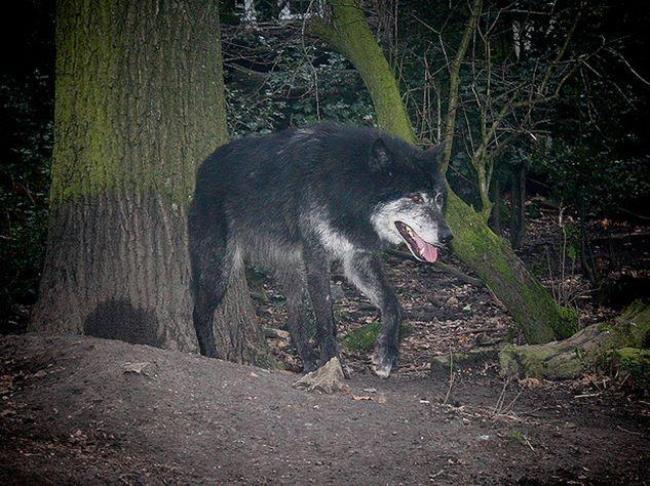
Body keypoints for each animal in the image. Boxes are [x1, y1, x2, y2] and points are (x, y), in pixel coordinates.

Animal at [187, 123, 450, 378]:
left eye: (438, 198)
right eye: (415, 198)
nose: (448, 236)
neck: (349, 187)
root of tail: (204, 167)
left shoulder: (357, 260)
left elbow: (393, 305)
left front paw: (385, 357)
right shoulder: (317, 259)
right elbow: (327, 321)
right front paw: (334, 364)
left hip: (295, 274)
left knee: (294, 320)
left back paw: (309, 364)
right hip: (219, 270)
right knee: (199, 312)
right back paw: (211, 355)